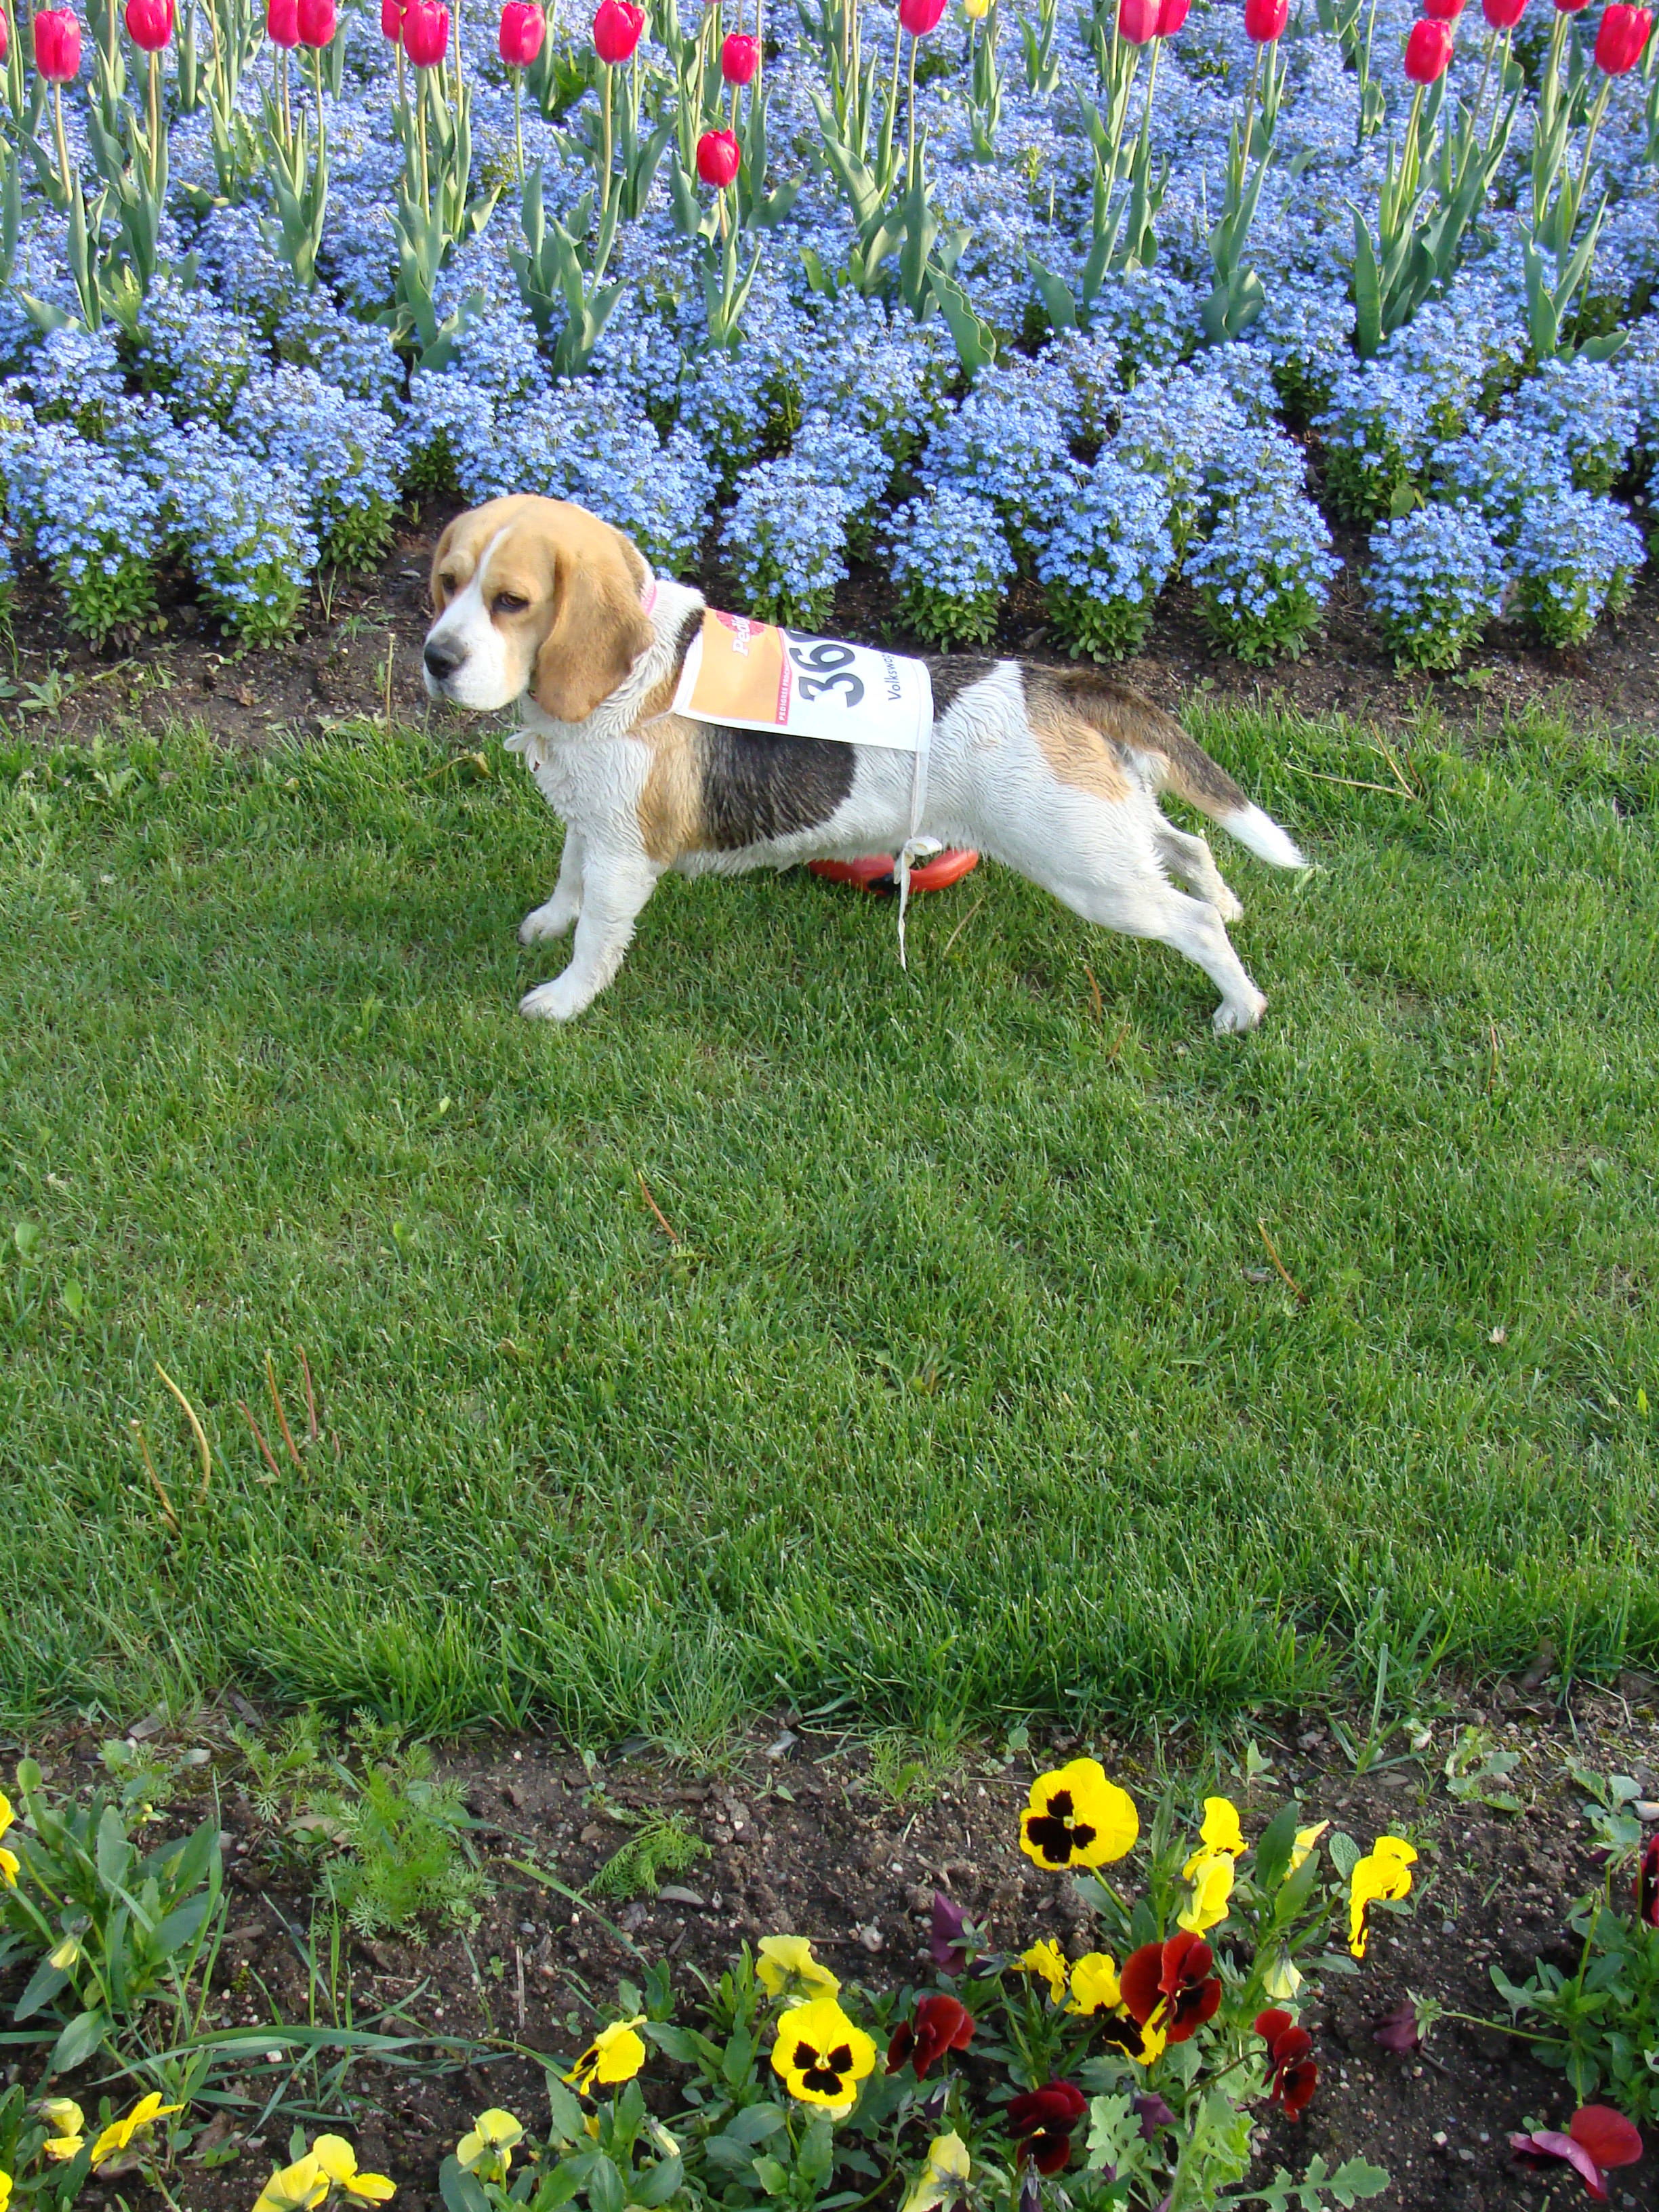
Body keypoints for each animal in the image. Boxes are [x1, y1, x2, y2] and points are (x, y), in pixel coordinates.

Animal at [422, 497, 1309, 1031]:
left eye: (512, 602)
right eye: (448, 581)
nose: (435, 658)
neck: (631, 673)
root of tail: (1056, 683)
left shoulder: (623, 854)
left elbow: (597, 936)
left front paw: (563, 1000)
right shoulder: (591, 823)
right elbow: (566, 882)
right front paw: (547, 922)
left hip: (1090, 870)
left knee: (1189, 923)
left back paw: (1241, 1005)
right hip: (1111, 830)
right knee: (1190, 846)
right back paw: (1230, 903)